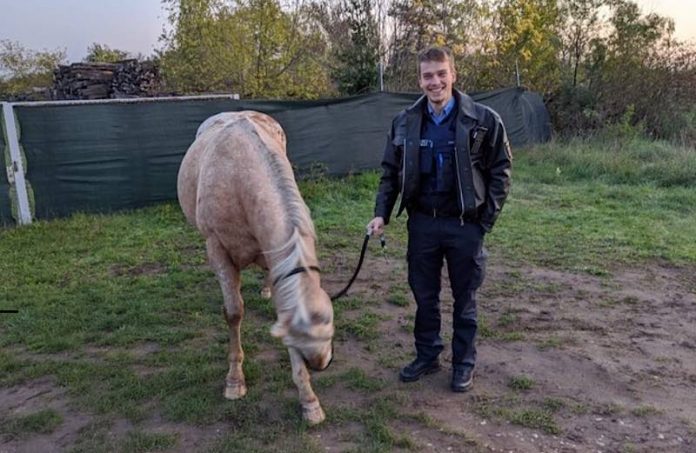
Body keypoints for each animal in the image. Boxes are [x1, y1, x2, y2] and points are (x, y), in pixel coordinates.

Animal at [177, 109, 334, 424]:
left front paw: (308, 400)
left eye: (328, 322)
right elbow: (234, 312)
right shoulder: (217, 249)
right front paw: (234, 381)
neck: (240, 178)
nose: (320, 362)